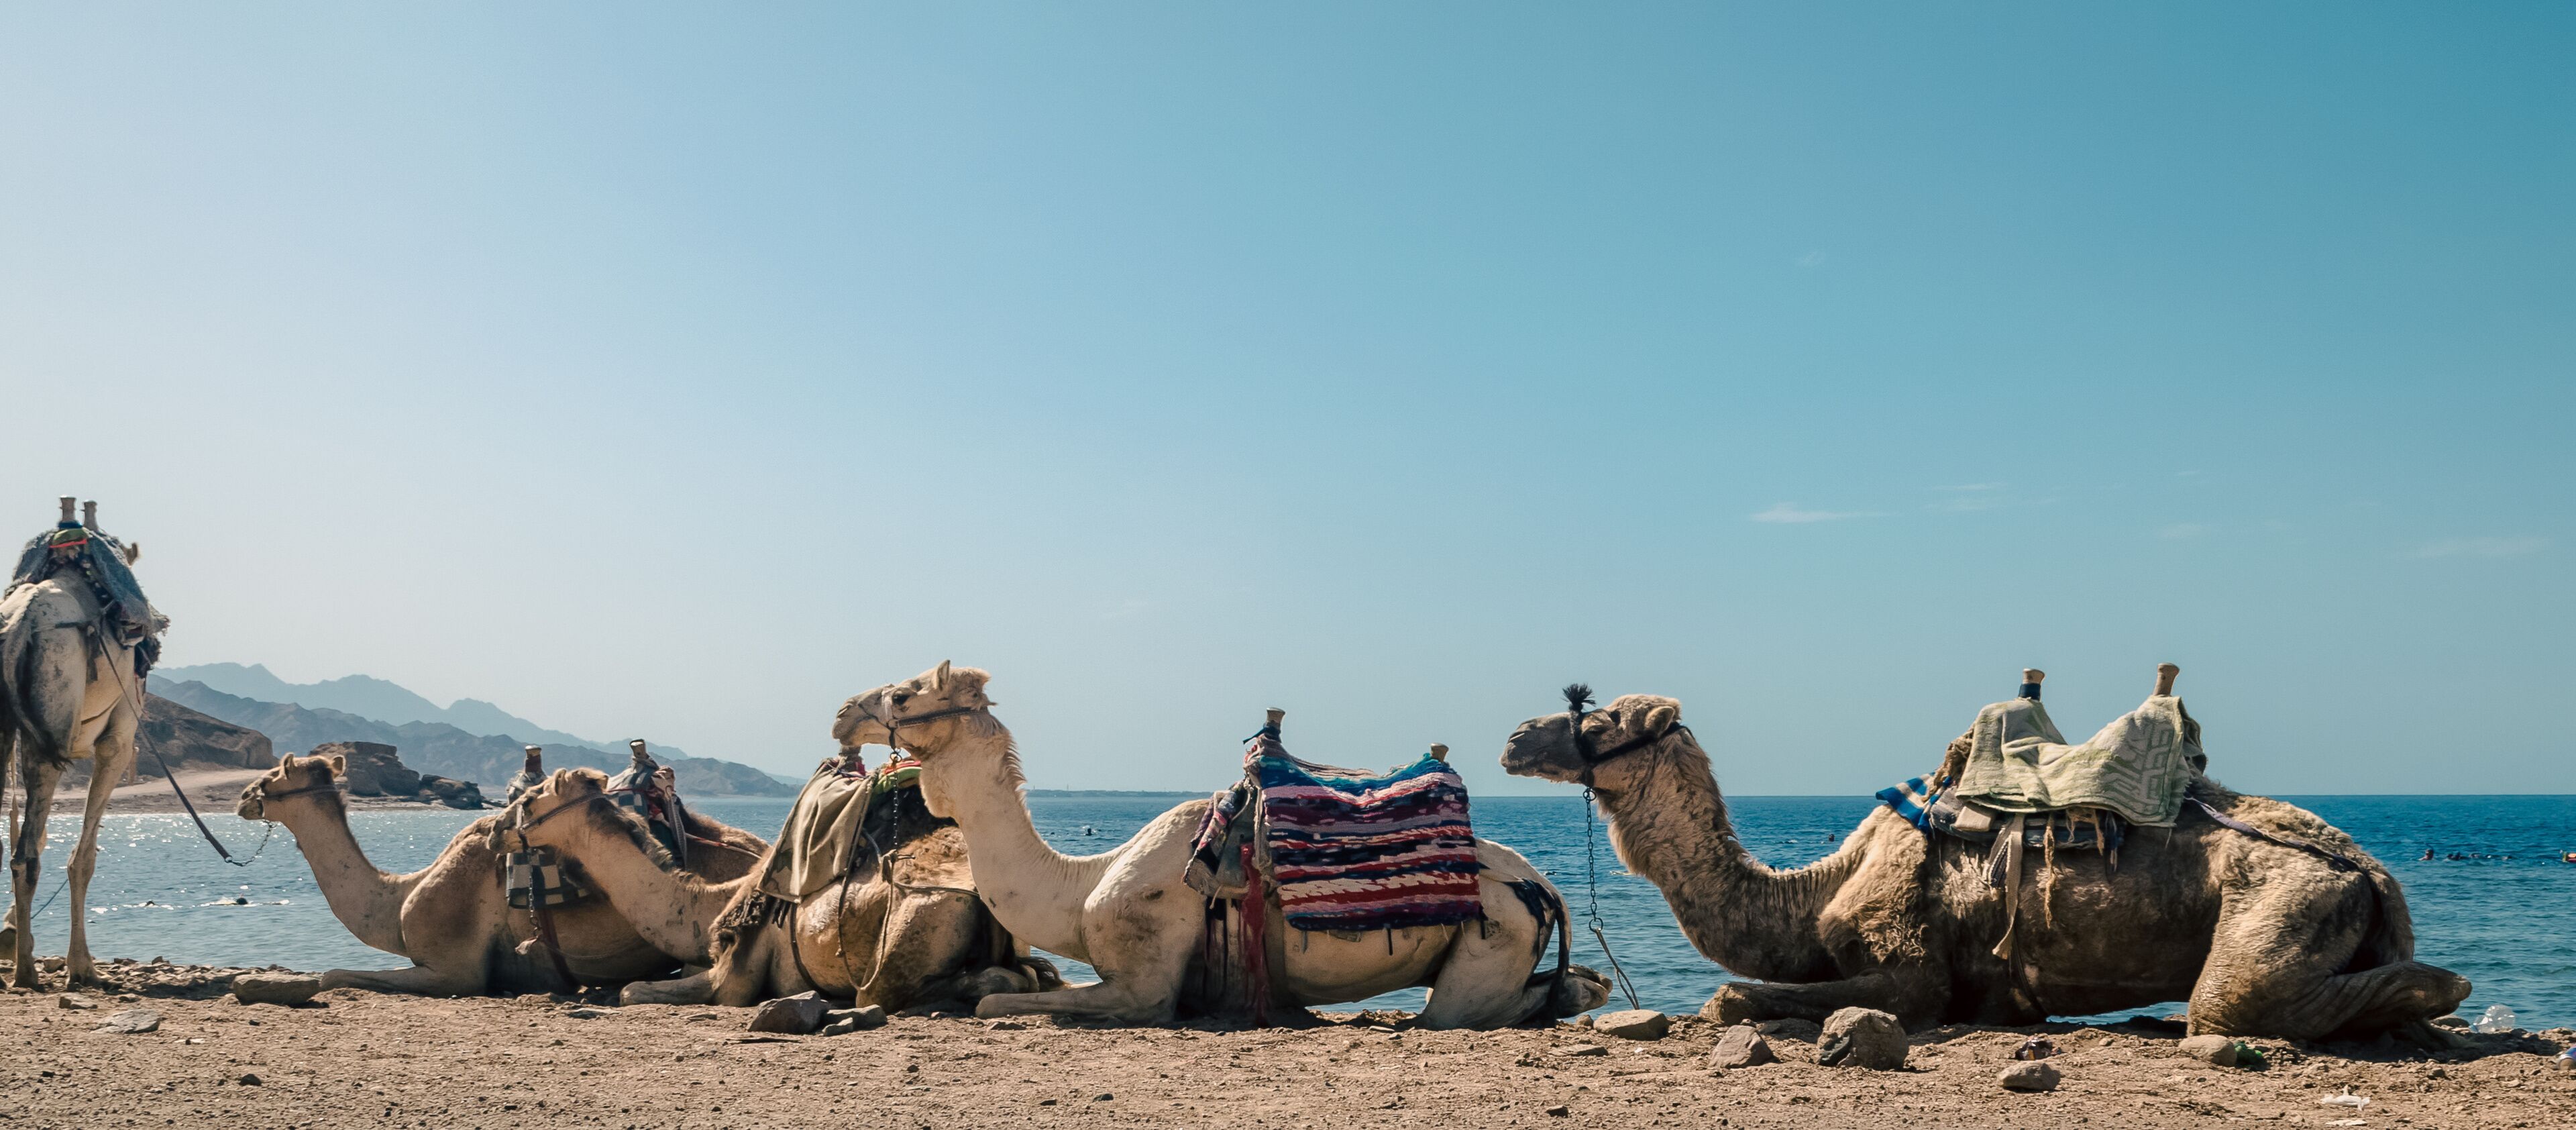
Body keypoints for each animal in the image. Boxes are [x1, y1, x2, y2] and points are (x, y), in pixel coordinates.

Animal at [4, 500, 156, 989]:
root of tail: (20, 626)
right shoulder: (119, 739)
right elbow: (83, 856)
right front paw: (81, 966)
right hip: (51, 729)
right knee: (28, 854)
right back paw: (32, 970)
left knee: (21, 849)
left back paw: (23, 965)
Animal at [233, 752, 767, 996]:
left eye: (274, 775)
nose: (242, 797)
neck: (399, 896)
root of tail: (759, 847)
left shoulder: (455, 970)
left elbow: (332, 974)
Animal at [501, 766, 1051, 1011]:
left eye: (529, 800)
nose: (499, 828)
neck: (708, 905)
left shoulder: (733, 980)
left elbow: (634, 990)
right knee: (1018, 975)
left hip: (919, 919)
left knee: (899, 988)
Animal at [829, 661, 1612, 1029]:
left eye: (903, 694)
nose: (842, 711)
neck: (1080, 890)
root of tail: (1547, 889)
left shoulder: (1143, 980)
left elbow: (1002, 1004)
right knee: (1575, 987)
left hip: (1493, 933)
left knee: (1463, 1011)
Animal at [1496, 675, 2473, 1042]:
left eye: (1602, 717)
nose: (1514, 737)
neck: (1815, 894)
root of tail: (2372, 870)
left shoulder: (1912, 970)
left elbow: (1731, 993)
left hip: (2285, 896)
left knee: (2233, 1002)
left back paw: (2447, 987)